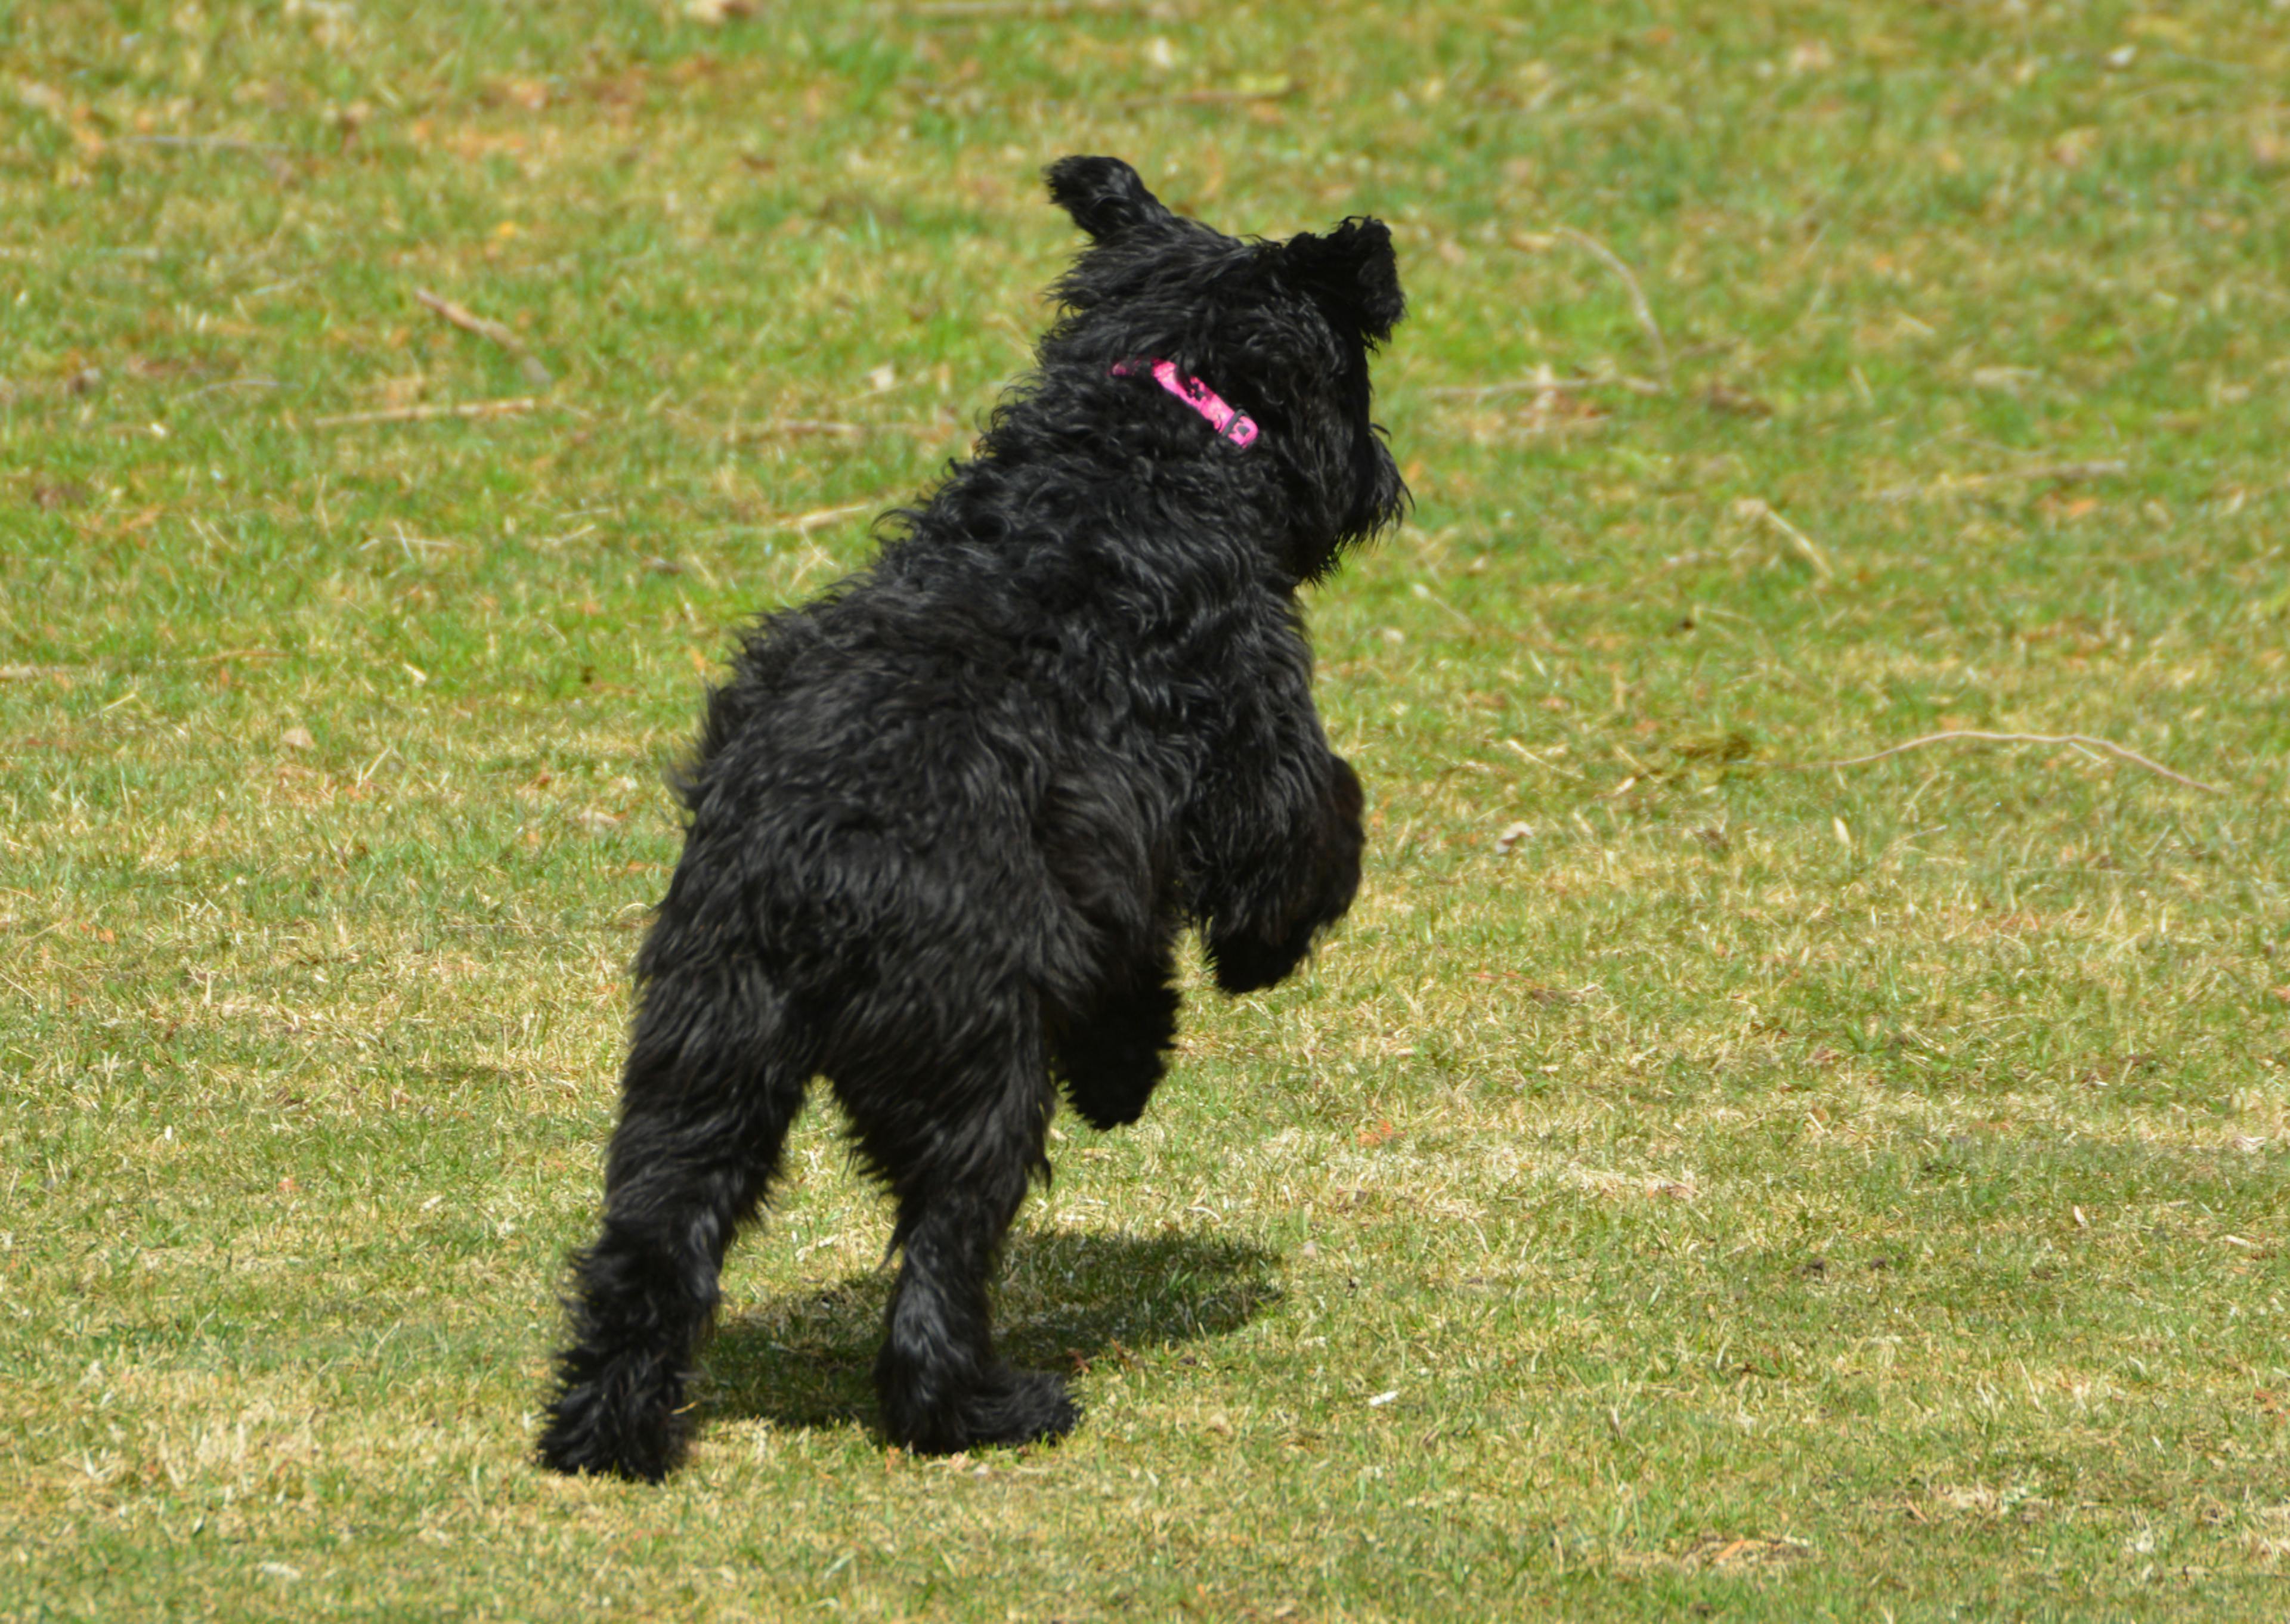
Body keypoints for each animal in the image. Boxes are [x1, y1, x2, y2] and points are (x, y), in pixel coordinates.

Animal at [538, 158, 1401, 1475]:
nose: (1386, 482)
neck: (1147, 444)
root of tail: (810, 877)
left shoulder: (1099, 873)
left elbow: (1131, 960)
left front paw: (1127, 1063)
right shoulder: (1253, 747)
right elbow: (1313, 828)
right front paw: (1249, 968)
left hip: (699, 1063)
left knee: (651, 1249)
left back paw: (606, 1429)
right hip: (969, 1078)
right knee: (939, 1269)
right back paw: (983, 1411)